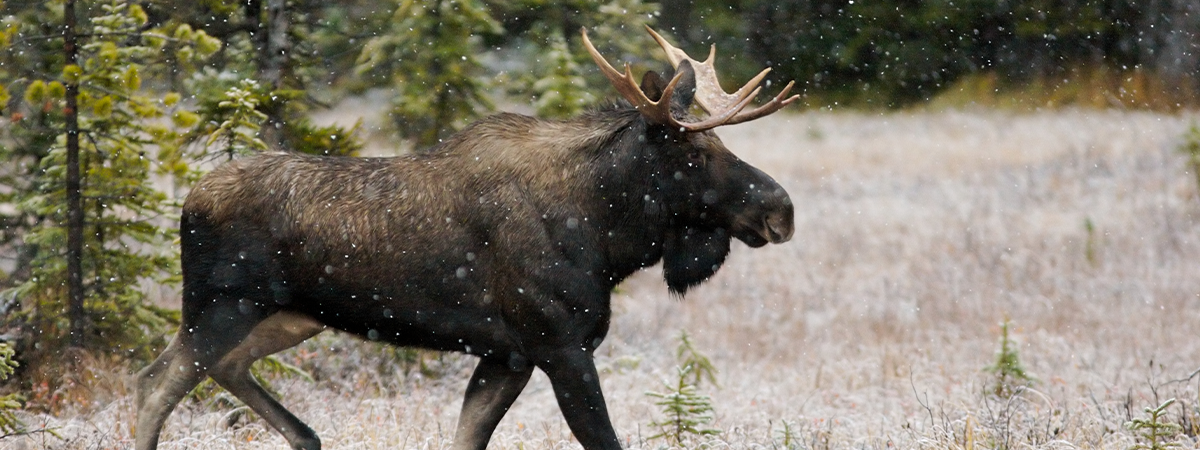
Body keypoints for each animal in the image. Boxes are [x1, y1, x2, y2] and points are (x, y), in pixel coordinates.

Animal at [136, 28, 796, 450]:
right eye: (693, 153)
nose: (781, 210)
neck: (608, 240)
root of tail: (190, 201)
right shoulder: (559, 345)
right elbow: (602, 439)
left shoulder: (506, 355)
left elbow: (466, 438)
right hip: (221, 305)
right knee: (155, 384)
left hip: (291, 315)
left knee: (224, 367)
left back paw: (307, 438)